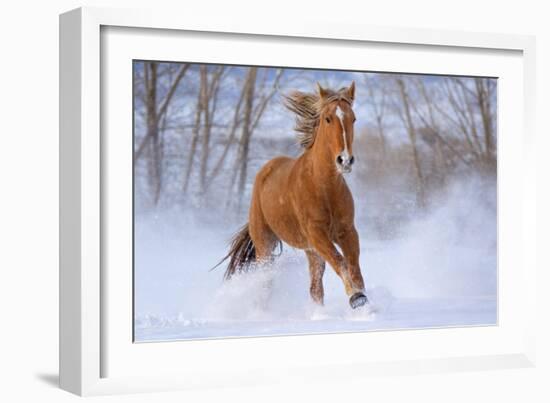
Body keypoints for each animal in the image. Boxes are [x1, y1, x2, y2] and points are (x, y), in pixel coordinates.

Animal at [218, 81, 368, 310]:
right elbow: (341, 262)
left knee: (315, 289)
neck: (323, 188)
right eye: (328, 118)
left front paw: (362, 299)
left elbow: (353, 267)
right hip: (265, 245)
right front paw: (356, 297)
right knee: (266, 283)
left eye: (353, 118)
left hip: (310, 251)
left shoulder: (347, 231)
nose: (345, 160)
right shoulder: (316, 234)